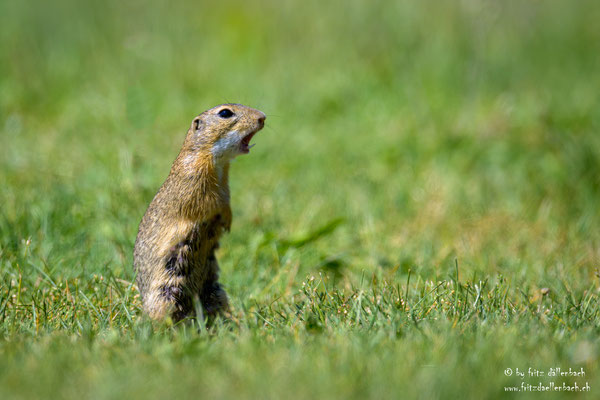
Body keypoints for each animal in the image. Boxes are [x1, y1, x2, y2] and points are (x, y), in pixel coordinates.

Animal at [136, 103, 268, 322]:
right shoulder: (195, 181)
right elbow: (208, 204)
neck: (218, 163)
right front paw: (225, 221)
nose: (263, 117)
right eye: (225, 113)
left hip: (214, 289)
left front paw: (228, 222)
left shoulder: (225, 187)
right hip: (166, 293)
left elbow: (226, 202)